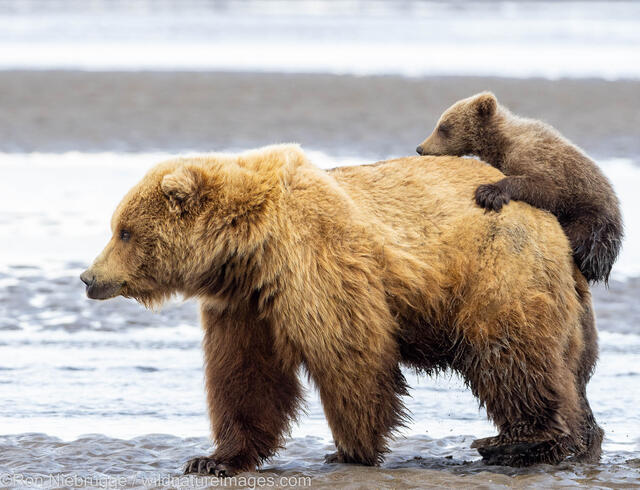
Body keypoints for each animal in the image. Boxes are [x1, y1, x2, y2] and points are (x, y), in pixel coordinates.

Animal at [80, 145, 600, 474]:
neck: (248, 247)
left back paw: (522, 443)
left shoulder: (314, 261)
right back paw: (581, 439)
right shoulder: (246, 304)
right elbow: (245, 376)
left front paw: (352, 449)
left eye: (123, 231)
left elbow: (350, 353)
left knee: (511, 358)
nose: (89, 277)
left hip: (498, 273)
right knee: (567, 372)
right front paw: (212, 459)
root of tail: (555, 228)